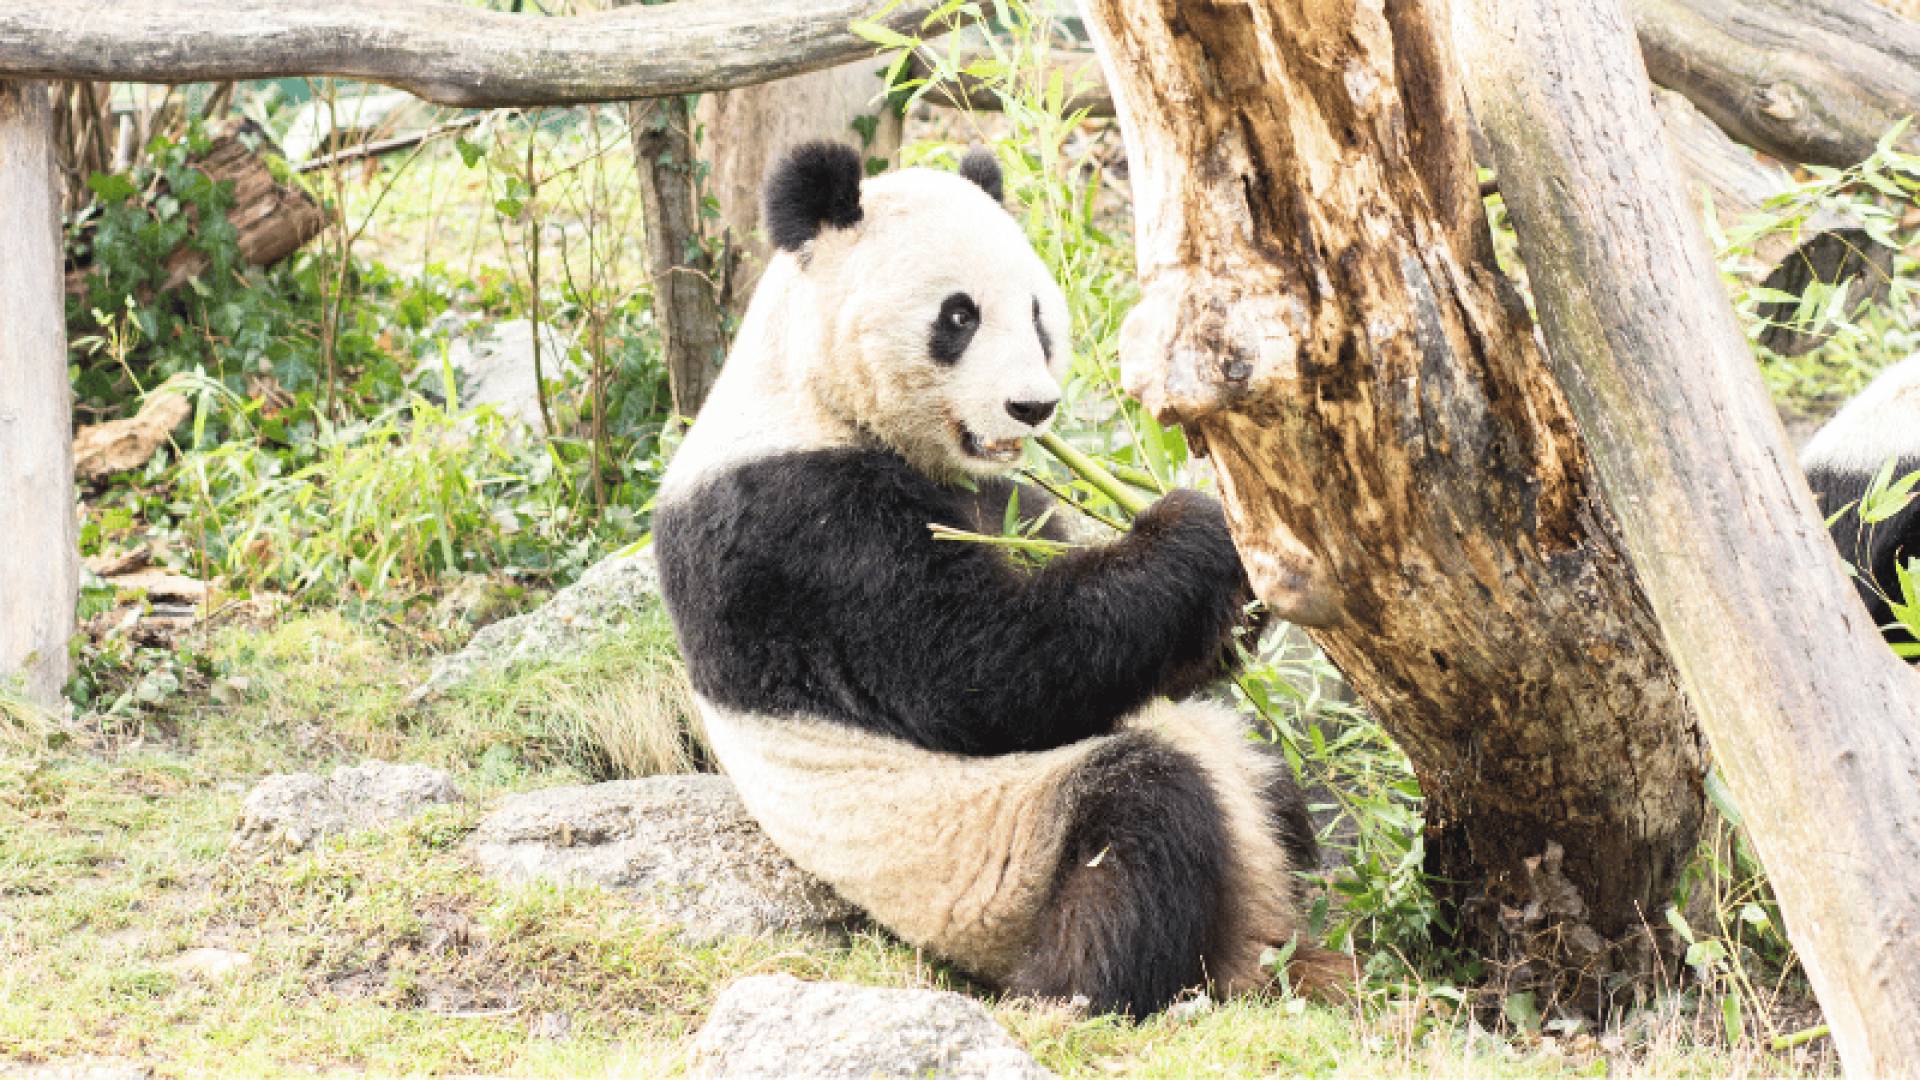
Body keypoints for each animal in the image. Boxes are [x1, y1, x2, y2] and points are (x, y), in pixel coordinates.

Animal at [652, 141, 1344, 1006]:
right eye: (959, 317)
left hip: (1218, 762)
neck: (812, 394)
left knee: (1260, 773)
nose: (1032, 408)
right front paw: (1196, 523)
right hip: (988, 860)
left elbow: (1169, 660)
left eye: (1039, 314)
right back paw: (1076, 993)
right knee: (1138, 820)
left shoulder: (1007, 498)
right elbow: (986, 673)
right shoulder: (789, 523)